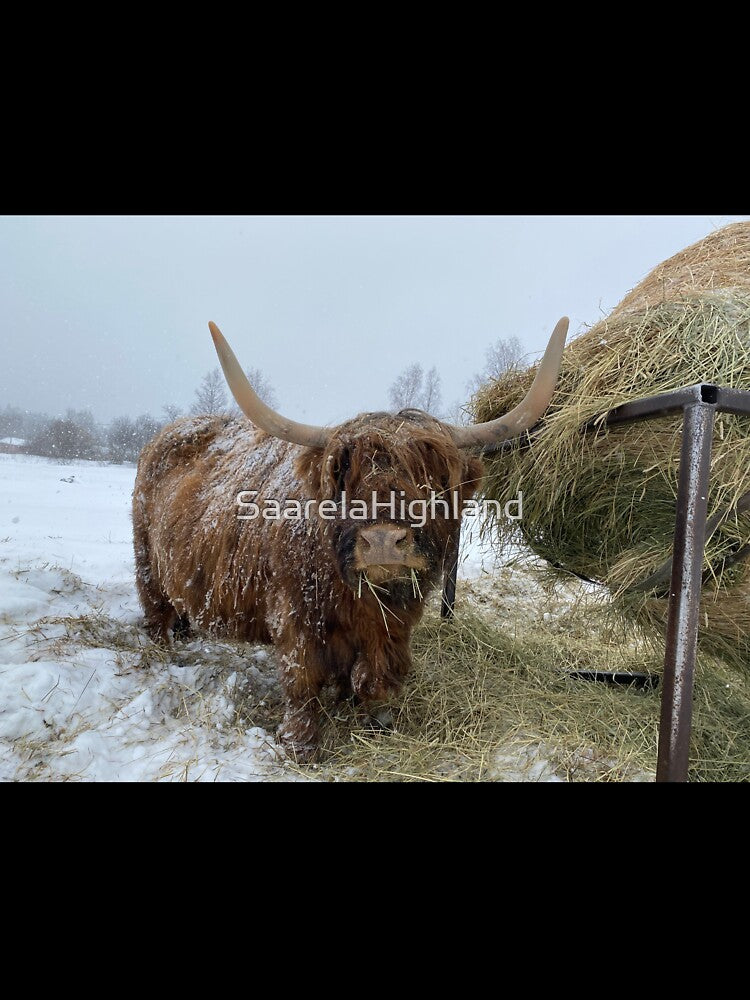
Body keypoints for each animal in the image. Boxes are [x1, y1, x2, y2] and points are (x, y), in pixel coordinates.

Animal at [133, 318, 568, 760]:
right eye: (344, 477)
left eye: (430, 479)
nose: (383, 542)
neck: (358, 597)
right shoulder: (294, 615)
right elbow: (302, 682)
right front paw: (300, 744)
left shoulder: (393, 623)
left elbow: (374, 674)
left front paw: (370, 717)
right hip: (147, 560)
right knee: (155, 610)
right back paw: (162, 655)